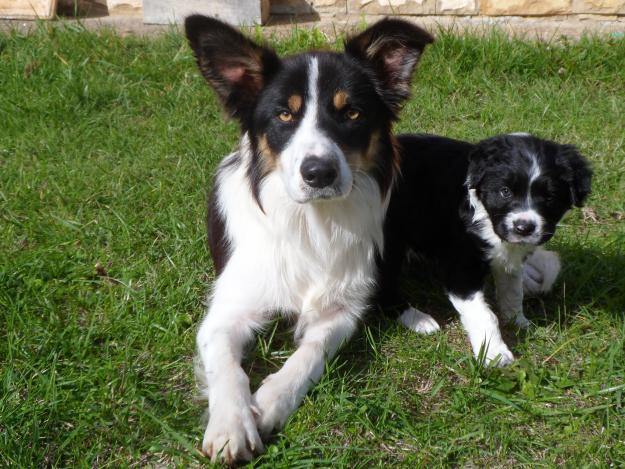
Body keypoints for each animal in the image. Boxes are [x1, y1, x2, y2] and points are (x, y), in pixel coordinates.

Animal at [183, 16, 432, 462]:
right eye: (284, 114)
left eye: (351, 112)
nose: (319, 173)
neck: (311, 221)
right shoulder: (226, 311)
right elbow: (226, 367)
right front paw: (231, 424)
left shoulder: (341, 309)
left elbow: (309, 354)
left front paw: (270, 401)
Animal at [378, 132, 592, 366]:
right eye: (505, 192)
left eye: (549, 197)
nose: (523, 228)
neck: (485, 214)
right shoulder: (461, 268)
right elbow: (484, 314)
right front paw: (496, 355)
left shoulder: (510, 255)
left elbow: (512, 290)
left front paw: (517, 321)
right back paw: (417, 318)